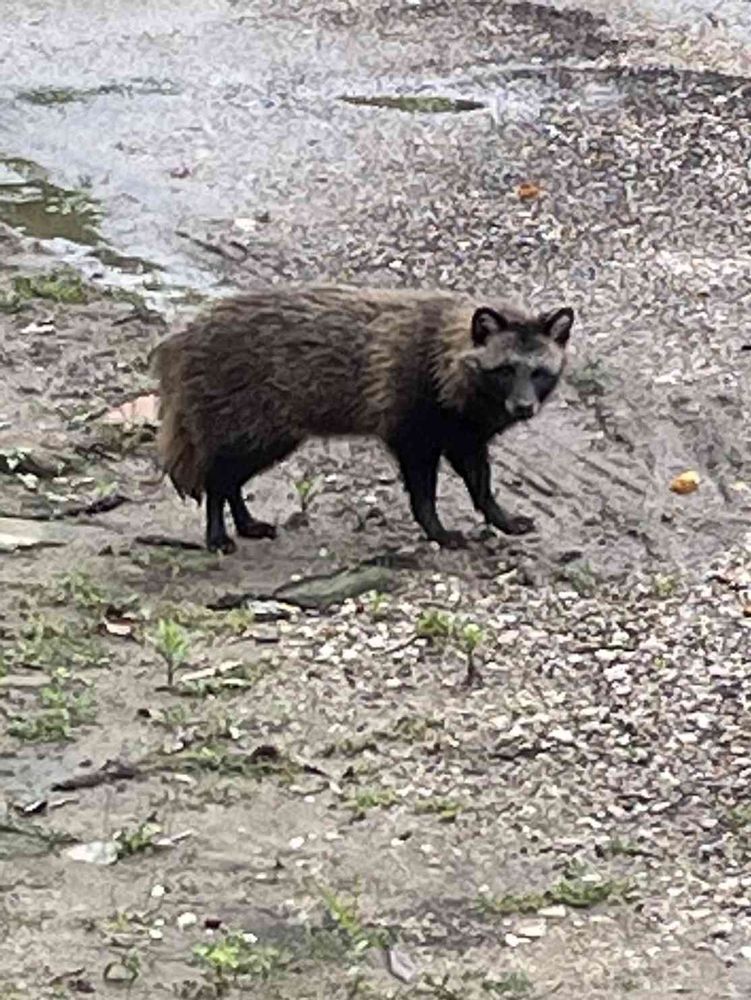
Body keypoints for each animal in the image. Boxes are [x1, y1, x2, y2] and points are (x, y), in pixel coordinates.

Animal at [151, 285, 573, 553]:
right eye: (506, 370)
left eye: (538, 373)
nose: (524, 408)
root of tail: (187, 337)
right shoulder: (413, 422)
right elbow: (422, 487)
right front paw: (435, 527)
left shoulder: (462, 427)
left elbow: (478, 476)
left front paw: (498, 514)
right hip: (246, 410)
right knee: (220, 474)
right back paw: (217, 527)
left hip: (263, 426)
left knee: (234, 474)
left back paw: (243, 517)